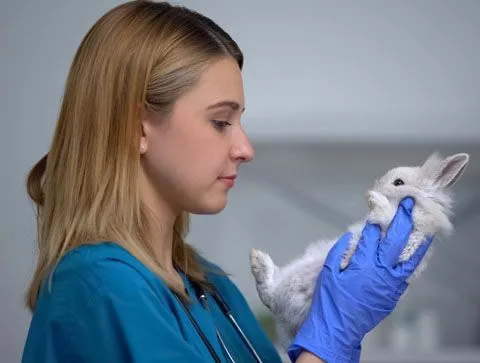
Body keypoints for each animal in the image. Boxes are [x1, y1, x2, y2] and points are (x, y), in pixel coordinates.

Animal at [249, 152, 470, 352]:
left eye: (398, 182)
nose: (373, 188)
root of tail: (285, 324)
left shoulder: (409, 237)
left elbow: (387, 216)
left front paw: (374, 200)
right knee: (269, 292)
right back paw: (257, 259)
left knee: (269, 295)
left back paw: (257, 262)